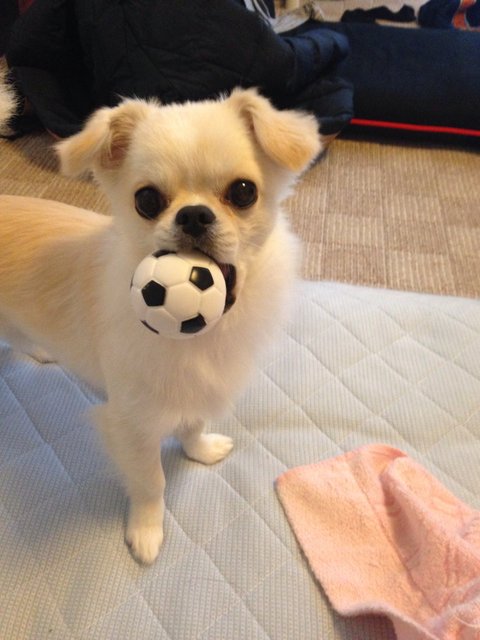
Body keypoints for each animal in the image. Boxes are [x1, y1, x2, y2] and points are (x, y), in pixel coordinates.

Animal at [0, 88, 321, 564]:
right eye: (147, 200)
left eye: (243, 192)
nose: (194, 215)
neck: (206, 334)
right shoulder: (131, 425)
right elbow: (152, 481)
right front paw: (147, 531)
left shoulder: (195, 391)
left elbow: (193, 426)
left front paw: (200, 451)